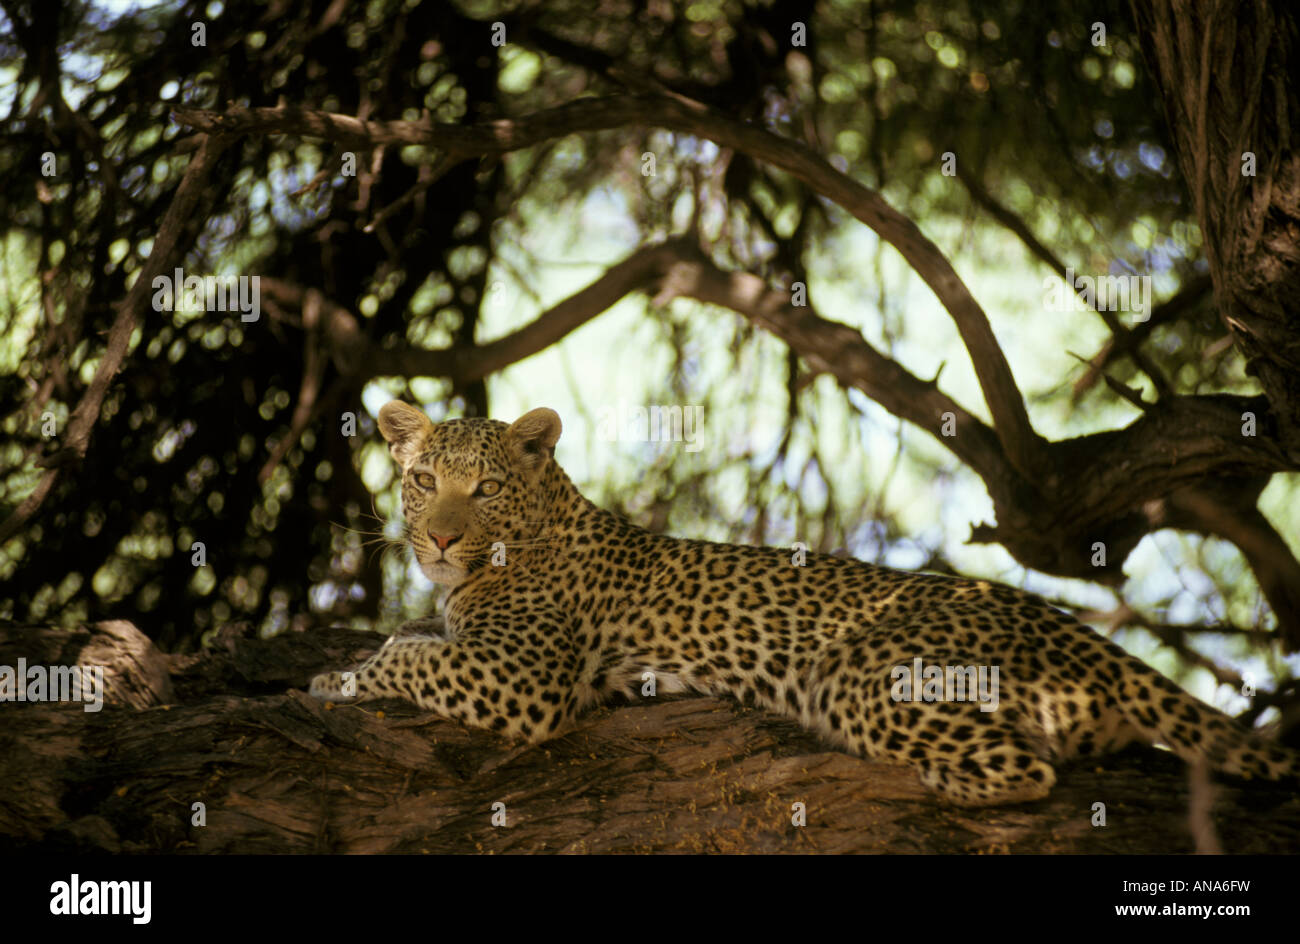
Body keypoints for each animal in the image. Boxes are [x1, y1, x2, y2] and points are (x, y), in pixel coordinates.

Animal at [309, 401, 1300, 806]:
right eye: (424, 480)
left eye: (483, 492)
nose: (440, 541)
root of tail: (1053, 620)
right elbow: (419, 636)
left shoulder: (523, 679)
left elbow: (412, 656)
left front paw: (332, 681)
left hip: (858, 674)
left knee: (1024, 770)